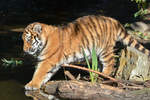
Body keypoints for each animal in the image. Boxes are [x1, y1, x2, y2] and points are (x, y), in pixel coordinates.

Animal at [22, 15, 150, 90]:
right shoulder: (49, 62)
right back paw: (95, 75)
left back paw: (103, 76)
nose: (24, 50)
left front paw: (31, 85)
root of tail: (113, 20)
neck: (44, 42)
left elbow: (39, 73)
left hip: (104, 50)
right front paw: (38, 84)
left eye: (28, 40)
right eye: (23, 40)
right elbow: (44, 74)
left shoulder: (47, 60)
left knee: (110, 63)